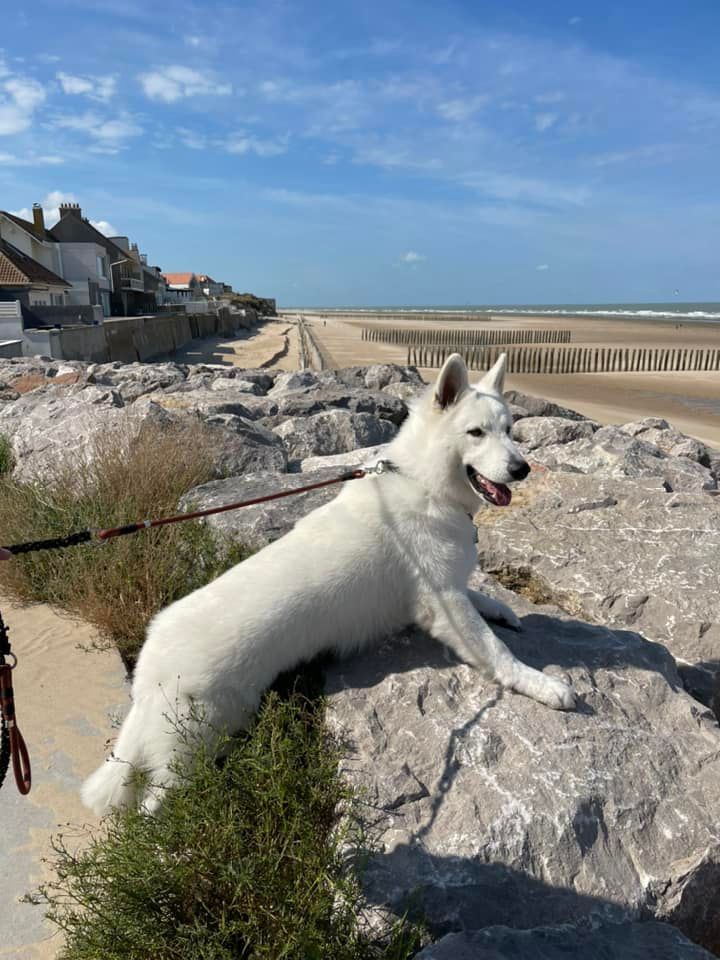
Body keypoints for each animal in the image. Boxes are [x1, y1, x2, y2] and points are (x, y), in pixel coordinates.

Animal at [84, 352, 576, 816]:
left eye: (509, 430)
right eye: (476, 433)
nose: (522, 469)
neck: (424, 482)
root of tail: (147, 674)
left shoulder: (447, 591)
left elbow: (481, 601)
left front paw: (503, 609)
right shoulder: (446, 607)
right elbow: (498, 652)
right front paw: (541, 684)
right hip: (197, 746)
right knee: (152, 806)